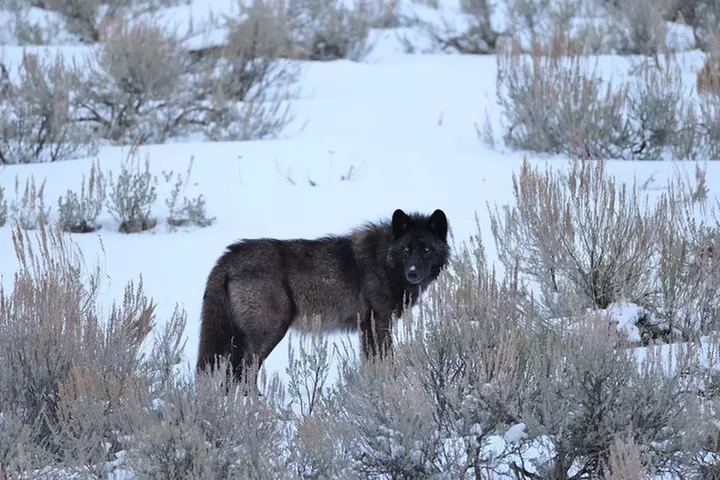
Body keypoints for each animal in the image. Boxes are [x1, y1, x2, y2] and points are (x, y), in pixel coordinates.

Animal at [196, 208, 451, 387]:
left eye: (427, 249)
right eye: (407, 249)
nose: (413, 273)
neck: (385, 262)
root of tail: (228, 257)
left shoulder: (367, 329)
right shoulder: (378, 324)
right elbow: (385, 361)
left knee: (232, 377)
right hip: (269, 333)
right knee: (242, 376)